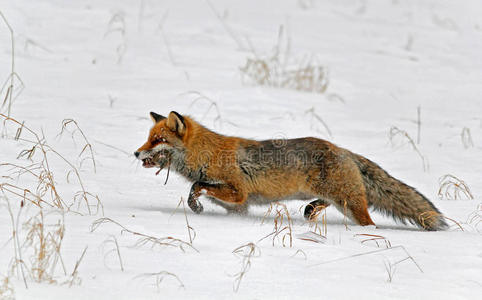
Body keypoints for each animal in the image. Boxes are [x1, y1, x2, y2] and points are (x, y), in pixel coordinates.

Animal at [136, 111, 448, 231]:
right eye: (148, 138)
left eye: (157, 140)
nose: (136, 153)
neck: (207, 153)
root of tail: (344, 150)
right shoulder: (238, 206)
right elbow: (202, 190)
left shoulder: (237, 192)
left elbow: (196, 186)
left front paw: (195, 207)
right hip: (340, 198)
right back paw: (311, 210)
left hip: (350, 204)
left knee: (369, 221)